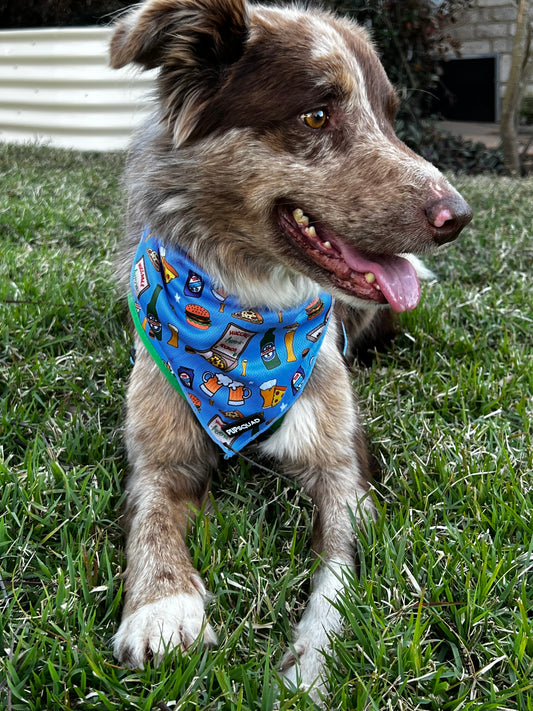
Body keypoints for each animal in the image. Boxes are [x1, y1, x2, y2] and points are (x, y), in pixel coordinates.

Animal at [107, 0, 470, 700]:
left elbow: (338, 581)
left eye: (389, 116)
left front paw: (309, 666)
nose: (458, 216)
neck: (248, 339)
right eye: (316, 115)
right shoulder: (155, 459)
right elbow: (151, 522)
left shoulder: (345, 473)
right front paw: (161, 609)